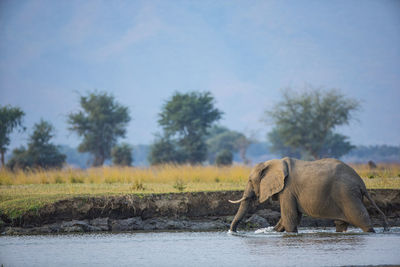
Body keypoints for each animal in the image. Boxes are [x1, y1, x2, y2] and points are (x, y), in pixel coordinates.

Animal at [230, 158, 390, 233]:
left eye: (250, 181)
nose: (232, 232)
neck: (275, 162)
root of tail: (361, 183)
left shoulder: (287, 190)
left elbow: (290, 218)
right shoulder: (290, 192)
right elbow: (290, 218)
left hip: (347, 194)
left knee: (361, 218)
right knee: (341, 223)